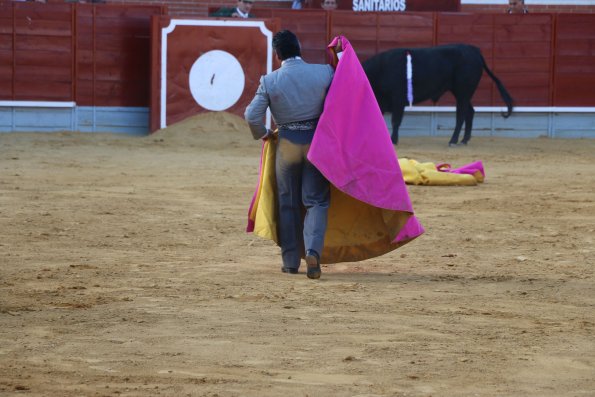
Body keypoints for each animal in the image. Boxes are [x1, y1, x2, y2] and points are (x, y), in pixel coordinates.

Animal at [360, 43, 516, 145]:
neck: (380, 70)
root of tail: (474, 51)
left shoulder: (398, 100)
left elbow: (395, 121)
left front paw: (393, 141)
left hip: (463, 91)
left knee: (461, 114)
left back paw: (453, 140)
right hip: (462, 93)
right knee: (470, 111)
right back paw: (464, 140)